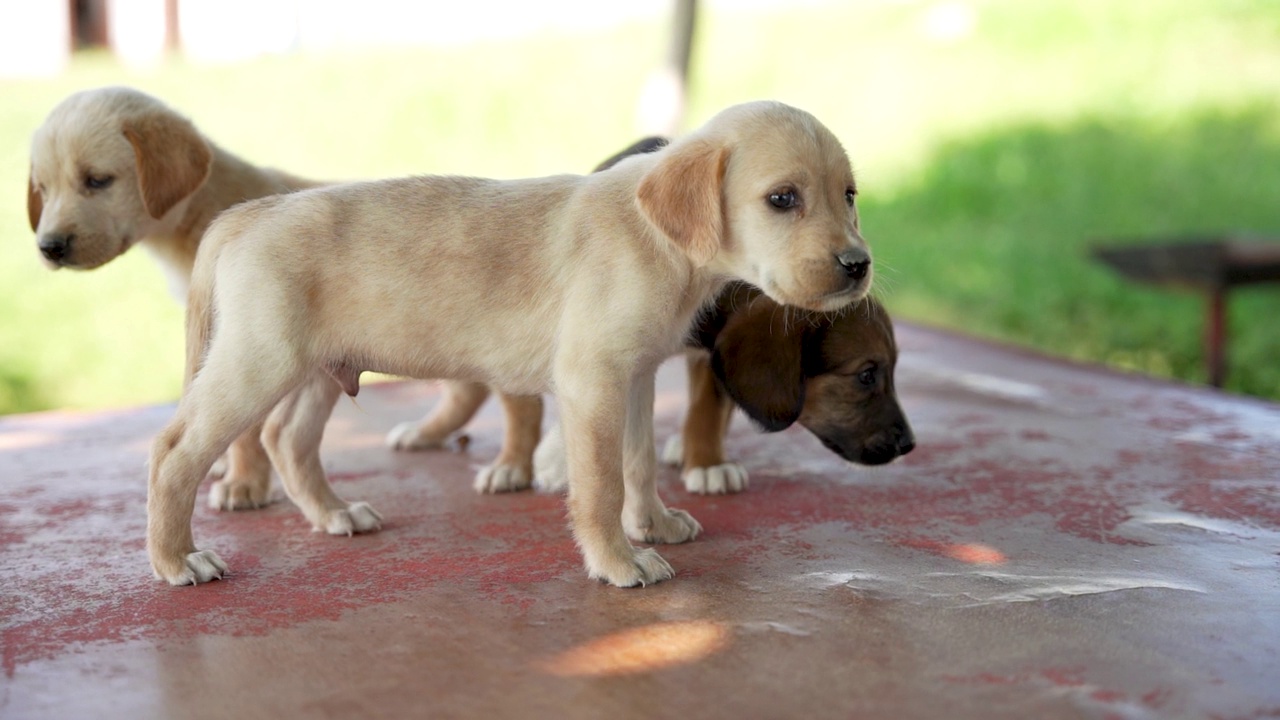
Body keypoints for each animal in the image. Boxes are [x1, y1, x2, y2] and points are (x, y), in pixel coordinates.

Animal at [25, 85, 320, 509]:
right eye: (43, 190)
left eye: (98, 181)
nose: (49, 247)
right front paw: (230, 468)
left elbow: (244, 426)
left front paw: (244, 482)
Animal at [147, 99, 870, 584]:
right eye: (783, 198)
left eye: (850, 194)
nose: (859, 265)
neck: (656, 240)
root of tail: (245, 215)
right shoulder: (593, 381)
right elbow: (601, 485)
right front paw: (618, 561)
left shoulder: (635, 376)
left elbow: (637, 463)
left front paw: (655, 525)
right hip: (258, 363)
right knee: (174, 451)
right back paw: (177, 559)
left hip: (319, 369)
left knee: (286, 439)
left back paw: (334, 515)